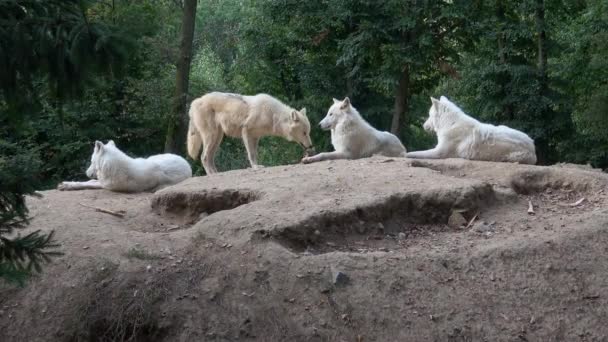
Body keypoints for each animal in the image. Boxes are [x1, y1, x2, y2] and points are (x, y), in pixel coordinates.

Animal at [57, 140, 191, 192]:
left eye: (91, 161)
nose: (86, 172)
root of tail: (188, 164)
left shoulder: (106, 185)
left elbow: (89, 183)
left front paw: (66, 185)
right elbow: (89, 181)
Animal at [188, 91, 316, 174]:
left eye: (308, 132)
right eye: (304, 133)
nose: (311, 146)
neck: (272, 115)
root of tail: (195, 101)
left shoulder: (255, 137)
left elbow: (255, 154)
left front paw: (257, 166)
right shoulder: (246, 132)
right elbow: (251, 154)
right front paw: (255, 167)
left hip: (217, 138)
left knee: (209, 157)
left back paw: (216, 173)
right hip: (212, 136)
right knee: (203, 157)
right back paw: (211, 174)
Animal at [408, 96, 536, 166]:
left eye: (429, 115)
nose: (423, 125)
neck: (450, 123)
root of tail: (533, 146)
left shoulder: (438, 152)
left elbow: (415, 153)